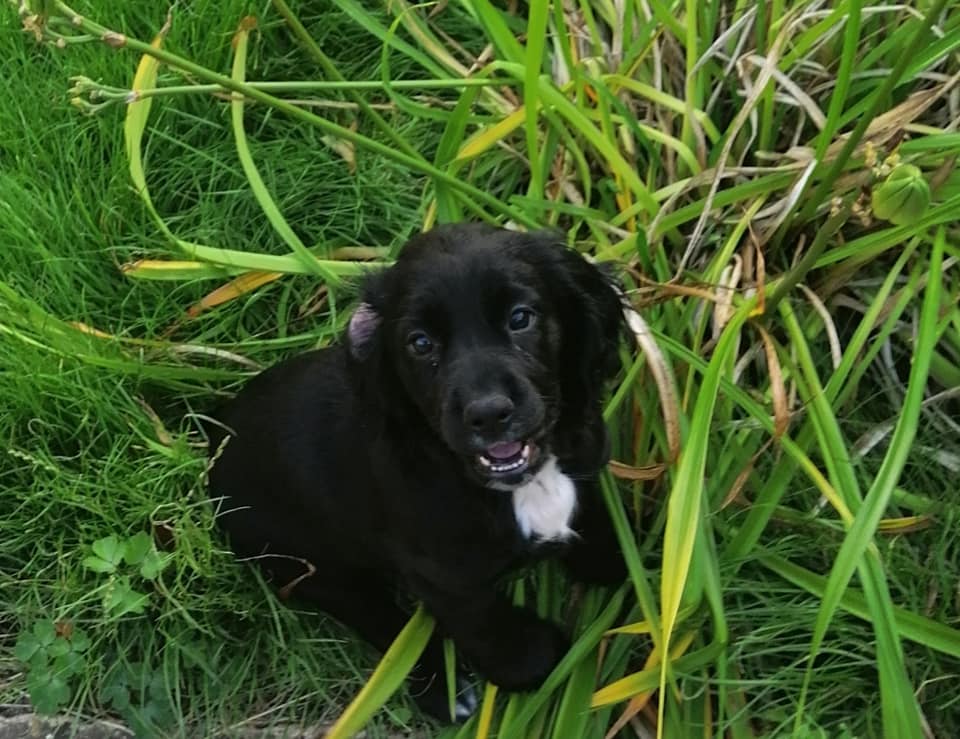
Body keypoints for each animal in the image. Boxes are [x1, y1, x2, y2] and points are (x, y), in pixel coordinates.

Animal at [209, 225, 628, 724]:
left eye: (520, 318)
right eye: (421, 343)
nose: (488, 414)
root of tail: (215, 435)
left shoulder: (583, 460)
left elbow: (593, 518)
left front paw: (613, 562)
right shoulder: (441, 575)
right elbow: (485, 623)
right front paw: (532, 663)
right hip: (306, 565)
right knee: (378, 620)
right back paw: (443, 692)